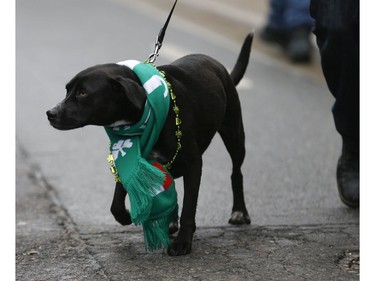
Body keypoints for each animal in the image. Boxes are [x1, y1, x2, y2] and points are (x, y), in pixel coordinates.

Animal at [46, 32, 253, 254]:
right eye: (68, 90)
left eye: (83, 93)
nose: (50, 113)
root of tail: (219, 67)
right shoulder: (131, 156)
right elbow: (116, 202)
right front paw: (126, 216)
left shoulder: (194, 164)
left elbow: (189, 206)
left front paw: (183, 242)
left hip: (234, 135)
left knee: (236, 173)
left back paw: (239, 212)